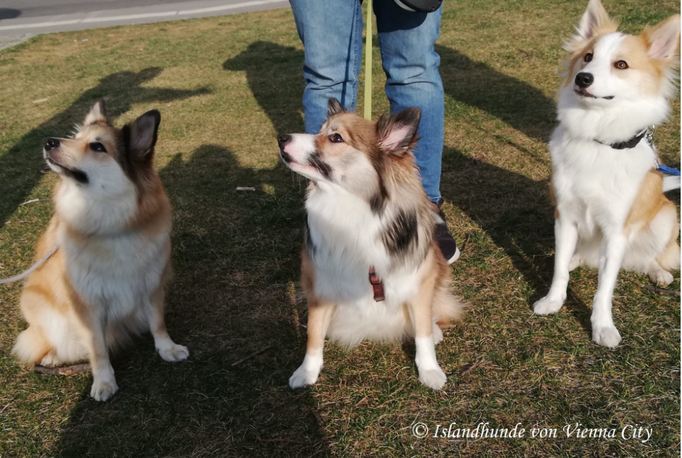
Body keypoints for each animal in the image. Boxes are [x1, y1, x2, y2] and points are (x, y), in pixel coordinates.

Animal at [12, 101, 189, 400]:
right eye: (75, 137)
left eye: (97, 146)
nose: (49, 141)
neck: (112, 225)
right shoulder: (87, 303)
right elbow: (97, 347)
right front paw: (104, 381)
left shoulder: (152, 284)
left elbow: (158, 322)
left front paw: (167, 348)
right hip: (36, 303)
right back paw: (53, 356)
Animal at [276, 100, 462, 390]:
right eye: (320, 130)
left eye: (336, 138)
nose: (281, 138)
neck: (350, 206)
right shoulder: (320, 284)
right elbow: (314, 337)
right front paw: (306, 372)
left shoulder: (418, 281)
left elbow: (422, 332)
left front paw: (430, 370)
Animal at [532, 0, 676, 348]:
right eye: (587, 57)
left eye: (621, 64)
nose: (582, 78)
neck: (598, 137)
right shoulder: (565, 217)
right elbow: (559, 269)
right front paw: (553, 300)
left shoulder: (616, 229)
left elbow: (604, 287)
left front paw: (602, 327)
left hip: (667, 218)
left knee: (648, 257)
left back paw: (660, 272)